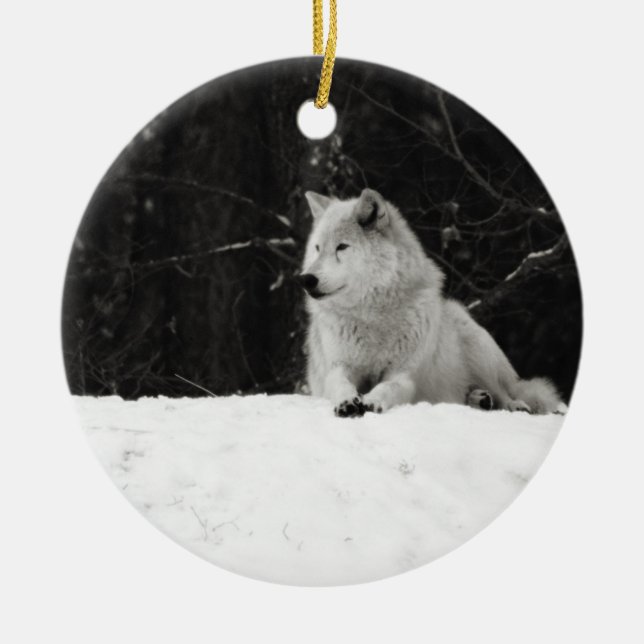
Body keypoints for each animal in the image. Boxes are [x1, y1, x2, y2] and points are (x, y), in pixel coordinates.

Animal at [298, 188, 562, 417]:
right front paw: (347, 402)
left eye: (342, 247)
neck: (372, 317)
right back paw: (479, 399)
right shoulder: (338, 367)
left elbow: (387, 387)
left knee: (505, 392)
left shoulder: (403, 374)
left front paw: (371, 401)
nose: (306, 279)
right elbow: (339, 384)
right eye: (317, 248)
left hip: (478, 351)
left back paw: (512, 405)